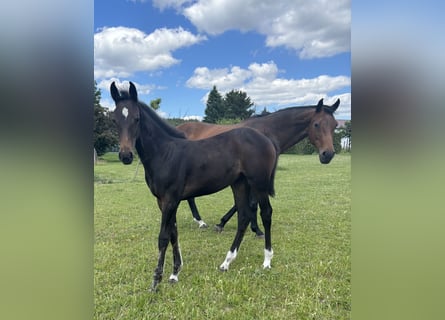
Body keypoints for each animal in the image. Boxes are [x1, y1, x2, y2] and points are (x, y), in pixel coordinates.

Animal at [110, 81, 278, 292]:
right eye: (114, 120)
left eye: (137, 118)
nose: (125, 156)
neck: (165, 153)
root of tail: (267, 140)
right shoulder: (163, 201)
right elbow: (173, 233)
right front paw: (174, 273)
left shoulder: (170, 200)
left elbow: (163, 237)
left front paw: (156, 281)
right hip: (239, 183)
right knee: (244, 216)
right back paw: (226, 262)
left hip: (258, 183)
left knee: (266, 213)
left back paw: (267, 260)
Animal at [175, 100, 338, 235]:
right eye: (316, 124)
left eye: (335, 125)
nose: (328, 154)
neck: (267, 132)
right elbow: (251, 203)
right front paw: (254, 229)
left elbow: (246, 203)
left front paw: (229, 224)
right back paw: (200, 221)